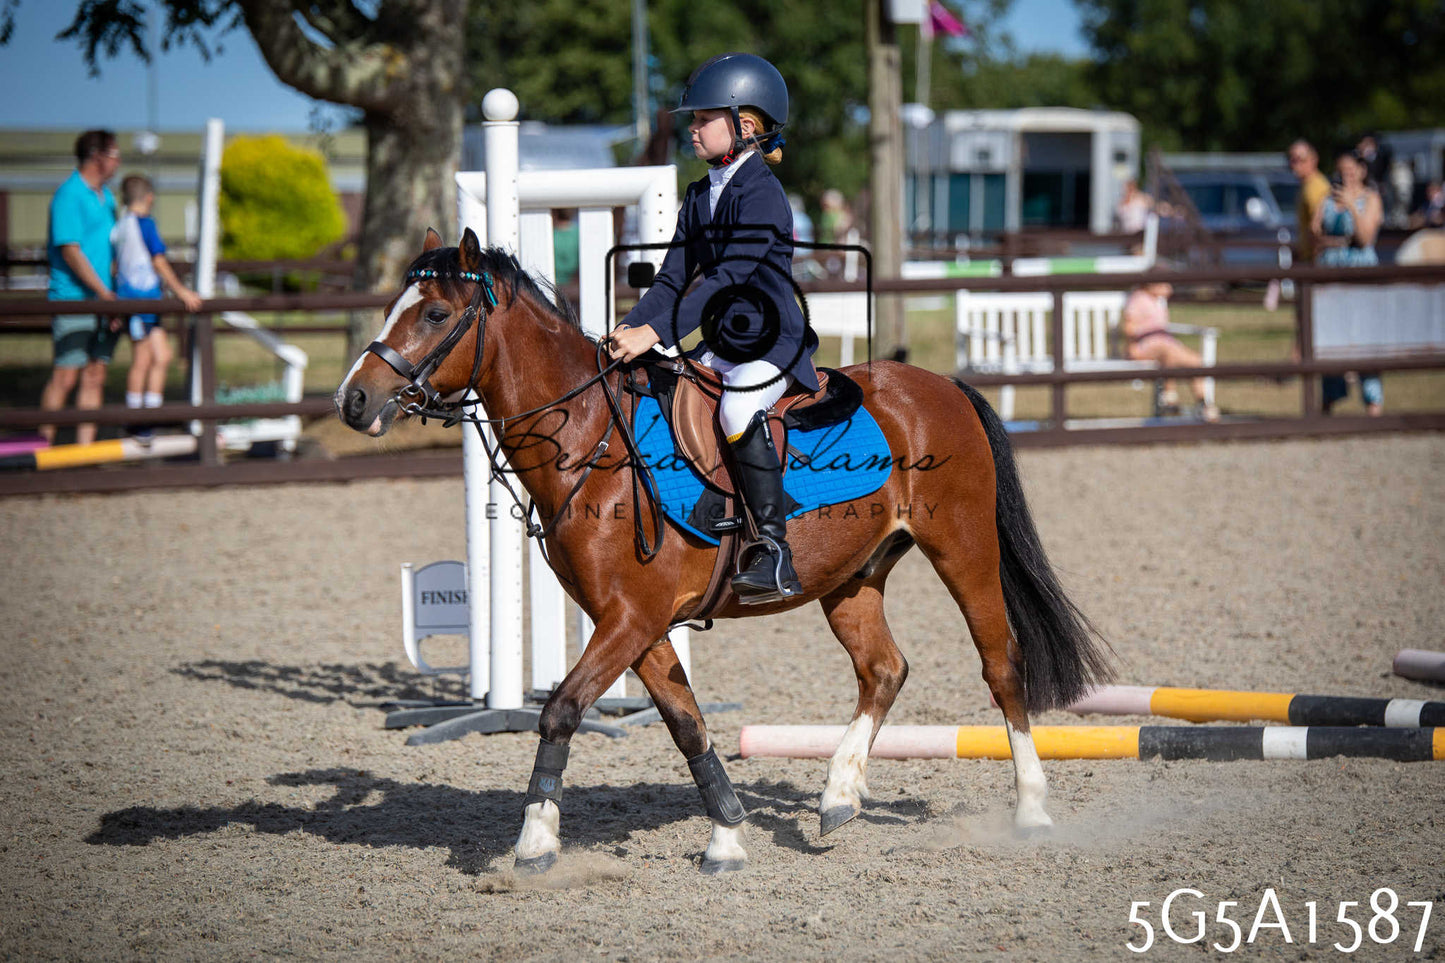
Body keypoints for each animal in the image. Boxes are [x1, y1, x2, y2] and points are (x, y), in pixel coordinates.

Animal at [336, 227, 1112, 874]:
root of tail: (940, 383)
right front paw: (727, 837)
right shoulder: (635, 624)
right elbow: (687, 725)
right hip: (850, 579)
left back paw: (1031, 809)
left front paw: (533, 843)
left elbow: (561, 709)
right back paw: (837, 796)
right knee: (883, 670)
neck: (590, 439)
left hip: (962, 548)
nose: (353, 400)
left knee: (1000, 666)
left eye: (435, 315)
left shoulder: (629, 618)